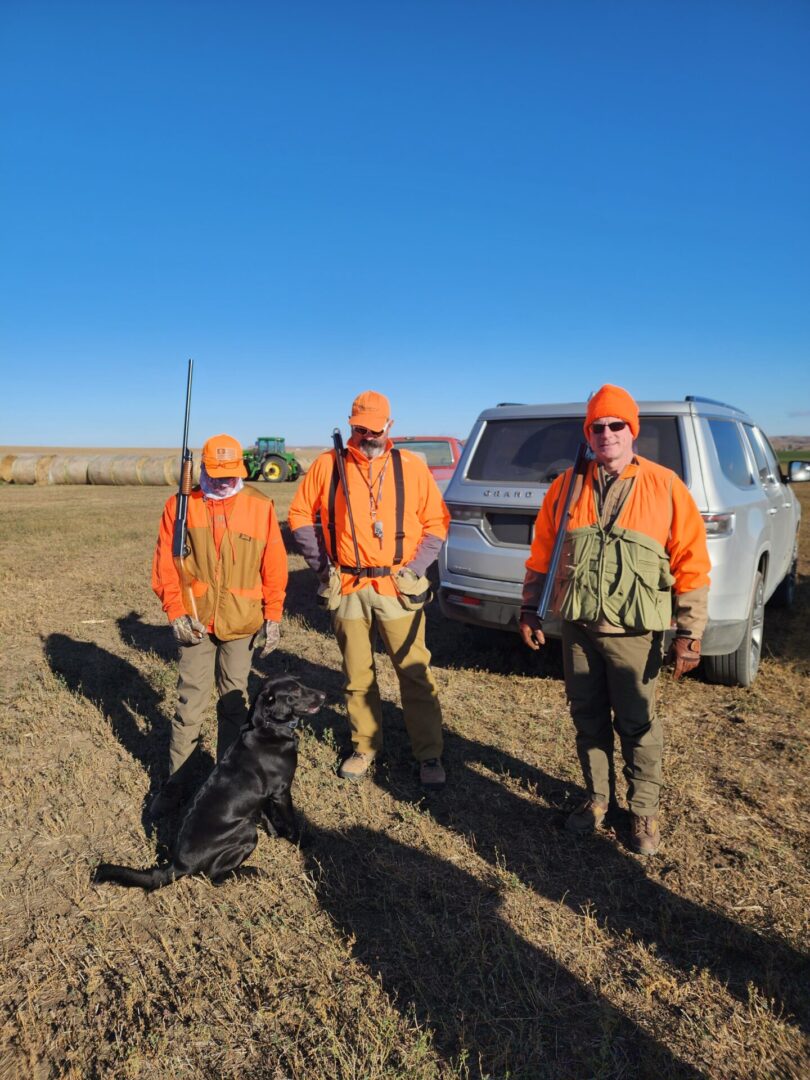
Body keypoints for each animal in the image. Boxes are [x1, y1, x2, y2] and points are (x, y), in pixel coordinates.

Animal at [93, 673, 326, 894]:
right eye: (294, 691)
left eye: (300, 682)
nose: (324, 696)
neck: (269, 728)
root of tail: (178, 864)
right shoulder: (282, 792)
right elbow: (291, 822)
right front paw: (302, 843)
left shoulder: (268, 795)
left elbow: (269, 816)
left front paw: (276, 833)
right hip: (247, 833)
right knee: (214, 877)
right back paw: (250, 871)